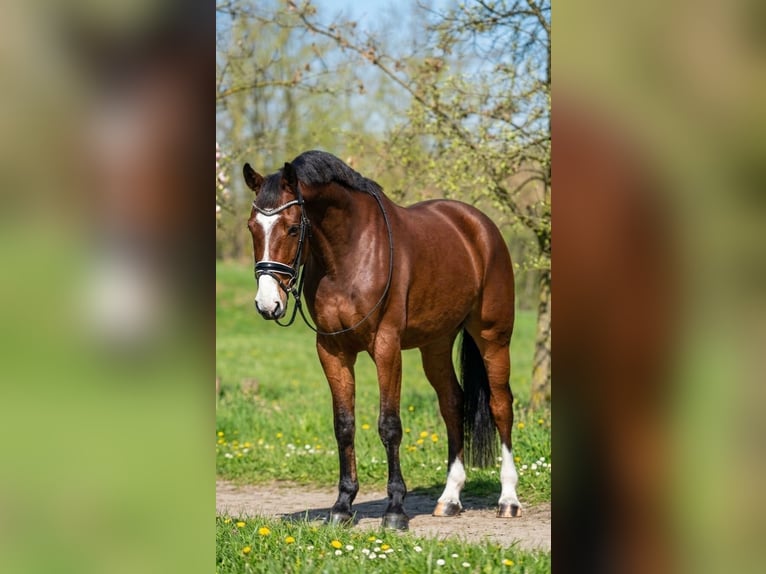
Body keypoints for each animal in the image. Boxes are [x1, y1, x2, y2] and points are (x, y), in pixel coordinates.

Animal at [243, 150, 521, 529]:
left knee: (501, 405)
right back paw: (449, 499)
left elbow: (389, 426)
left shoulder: (386, 348)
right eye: (252, 227)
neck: (349, 255)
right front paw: (342, 506)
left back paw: (508, 499)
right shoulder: (332, 351)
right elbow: (344, 426)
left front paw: (395, 510)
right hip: (435, 345)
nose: (267, 304)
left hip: (493, 337)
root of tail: (479, 226)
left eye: (293, 228)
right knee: (453, 403)